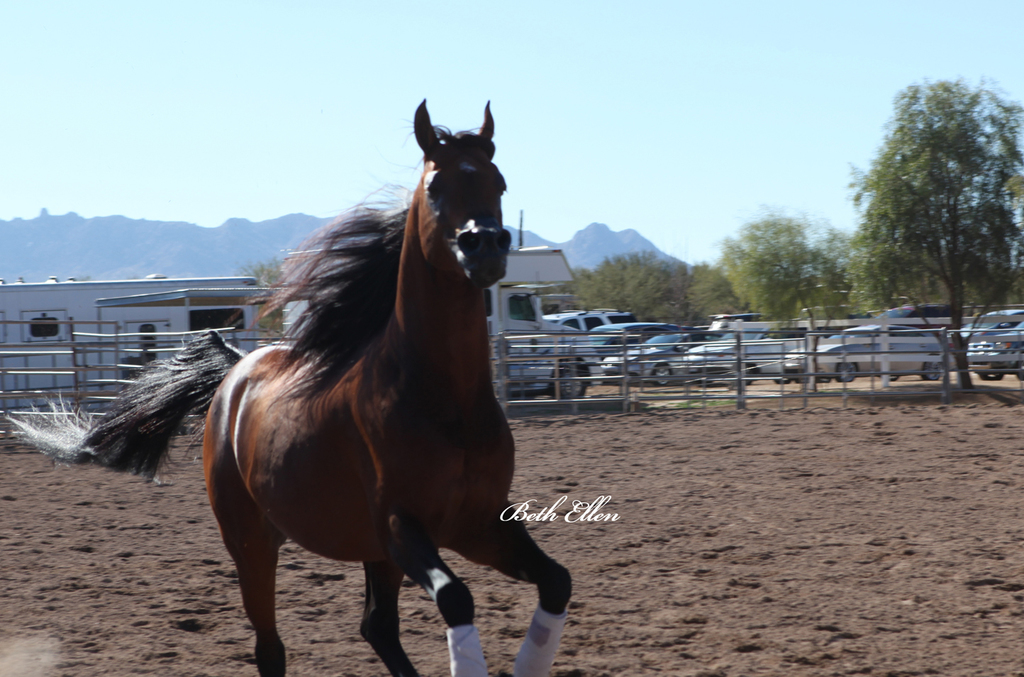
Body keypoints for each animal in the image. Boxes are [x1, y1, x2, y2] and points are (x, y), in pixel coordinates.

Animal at [12, 101, 572, 677]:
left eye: (498, 182)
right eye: (436, 185)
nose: (485, 246)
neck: (444, 400)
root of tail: (236, 372)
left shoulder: (476, 522)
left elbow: (556, 581)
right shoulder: (403, 527)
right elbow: (457, 598)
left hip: (371, 549)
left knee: (377, 627)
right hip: (254, 542)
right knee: (271, 647)